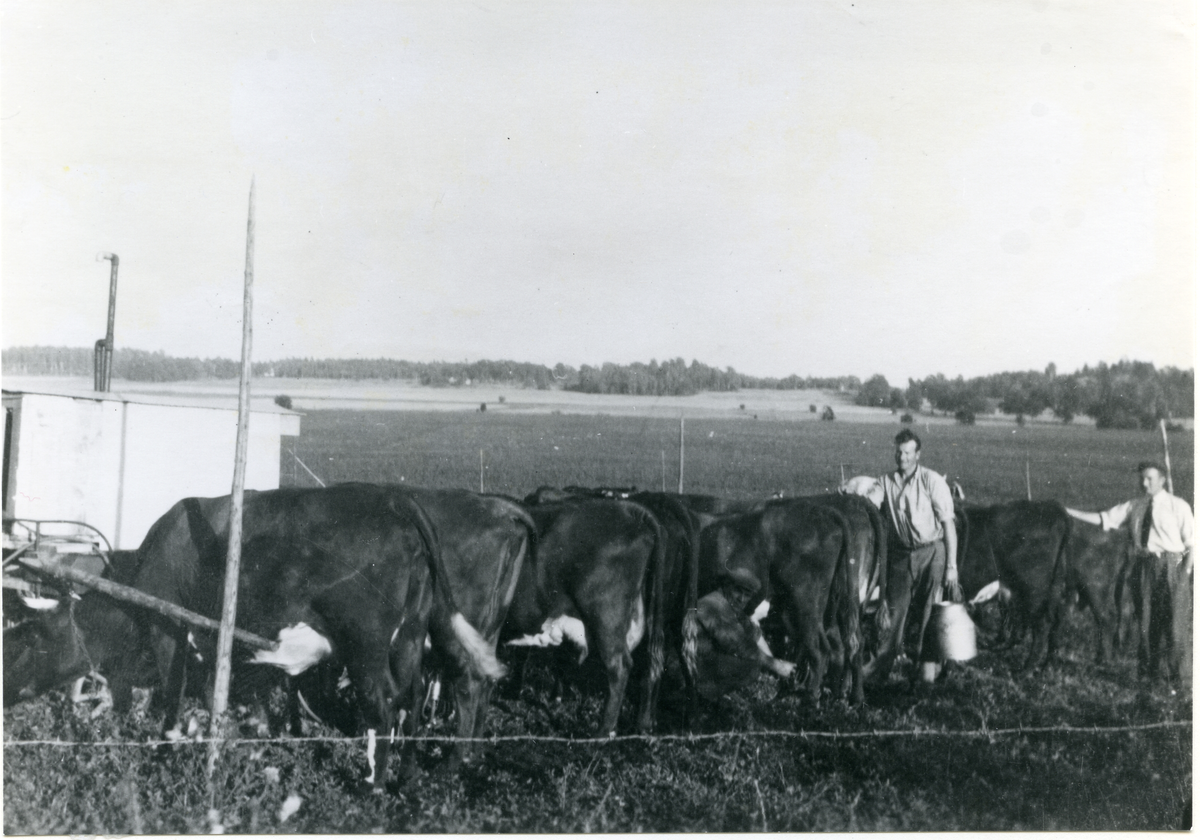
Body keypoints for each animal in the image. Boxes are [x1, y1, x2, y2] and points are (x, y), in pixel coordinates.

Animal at [129, 484, 504, 791]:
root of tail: (396, 500)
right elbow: (223, 696)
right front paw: (241, 742)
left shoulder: (168, 628)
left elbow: (175, 694)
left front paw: (167, 752)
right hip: (410, 636)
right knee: (411, 700)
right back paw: (408, 778)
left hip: (365, 644)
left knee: (385, 702)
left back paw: (374, 784)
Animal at [508, 495, 667, 737]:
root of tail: (627, 509)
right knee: (650, 665)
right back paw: (643, 725)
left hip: (606, 617)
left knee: (619, 666)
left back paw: (603, 731)